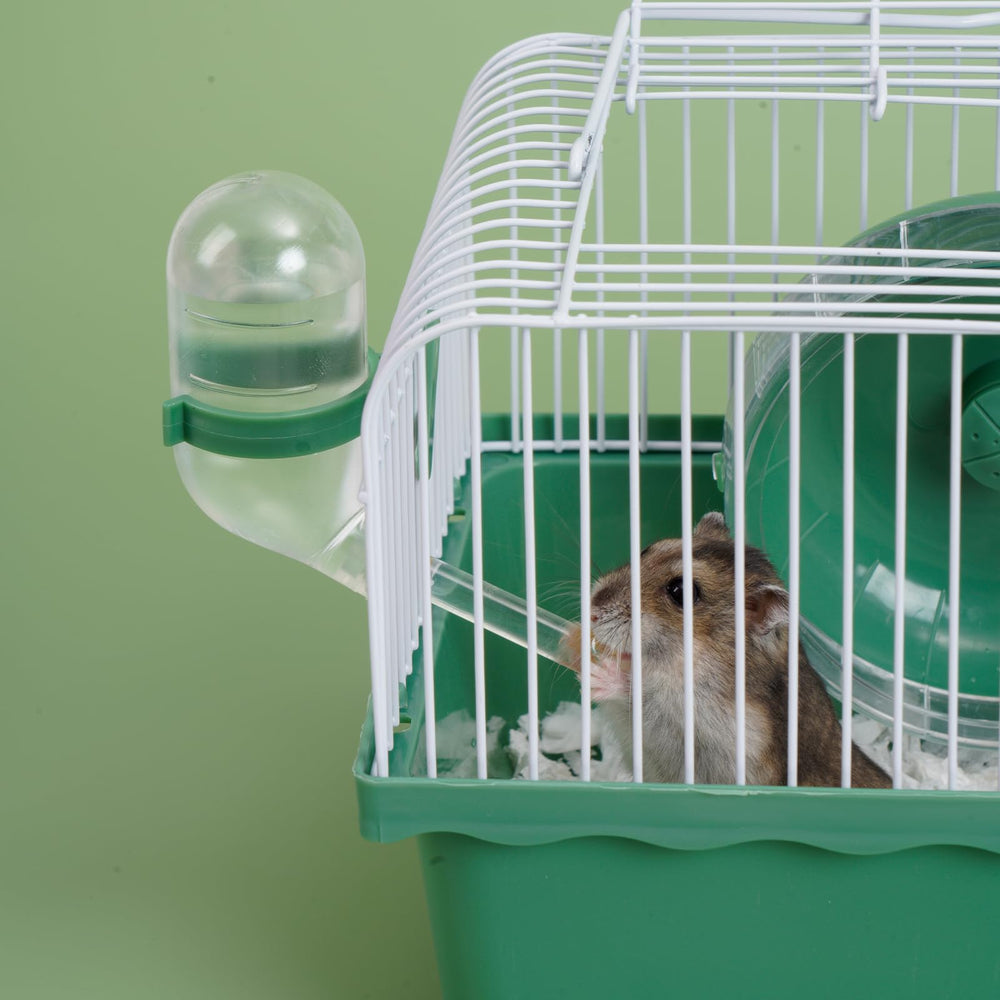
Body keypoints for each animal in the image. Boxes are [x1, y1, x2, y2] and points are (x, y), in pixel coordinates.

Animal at [560, 511, 891, 789]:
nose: (591, 610)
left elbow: (643, 695)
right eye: (647, 550)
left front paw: (600, 671)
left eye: (681, 591)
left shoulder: (700, 732)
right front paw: (573, 643)